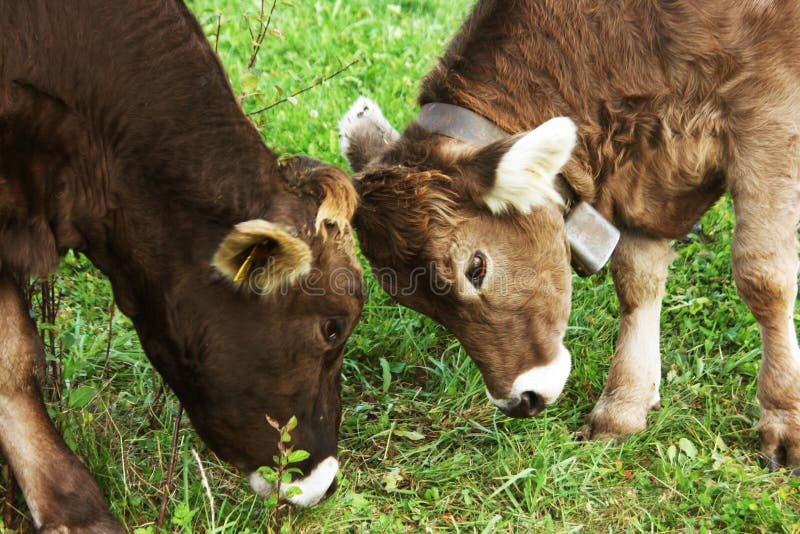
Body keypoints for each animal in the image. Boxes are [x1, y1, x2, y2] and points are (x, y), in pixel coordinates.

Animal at [340, 0, 800, 472]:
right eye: (409, 299)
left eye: (476, 267)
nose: (520, 400)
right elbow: (637, 281)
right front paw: (623, 406)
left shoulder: (768, 107)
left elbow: (763, 277)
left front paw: (785, 420)